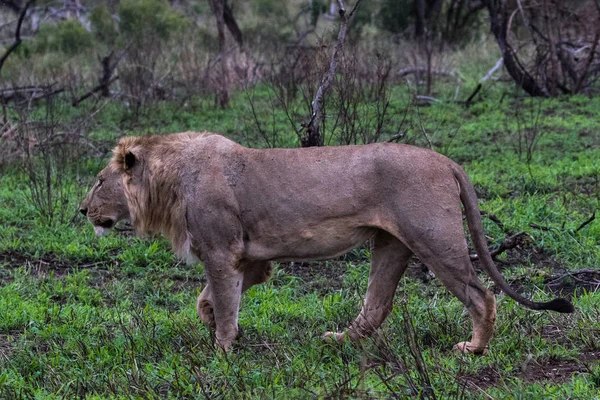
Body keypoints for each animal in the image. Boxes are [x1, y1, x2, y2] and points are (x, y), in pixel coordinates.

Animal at [82, 132, 576, 354]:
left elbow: (222, 301)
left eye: (99, 181)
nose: (82, 210)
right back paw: (340, 339)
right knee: (377, 304)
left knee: (481, 294)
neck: (167, 181)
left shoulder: (222, 252)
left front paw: (221, 350)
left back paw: (472, 349)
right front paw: (214, 325)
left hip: (435, 240)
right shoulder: (249, 259)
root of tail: (446, 160)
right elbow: (213, 299)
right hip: (391, 244)